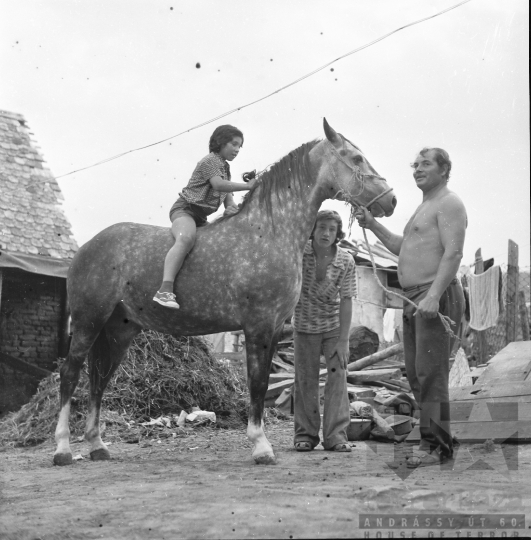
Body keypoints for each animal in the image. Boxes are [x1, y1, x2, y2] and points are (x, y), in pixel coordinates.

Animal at [54, 120, 396, 466]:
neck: (269, 231)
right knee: (70, 374)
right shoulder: (257, 326)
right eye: (356, 158)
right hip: (88, 322)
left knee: (99, 380)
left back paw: (97, 446)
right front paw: (261, 446)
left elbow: (261, 384)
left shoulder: (274, 328)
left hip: (118, 330)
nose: (391, 201)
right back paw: (63, 449)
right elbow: (256, 384)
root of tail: (86, 248)